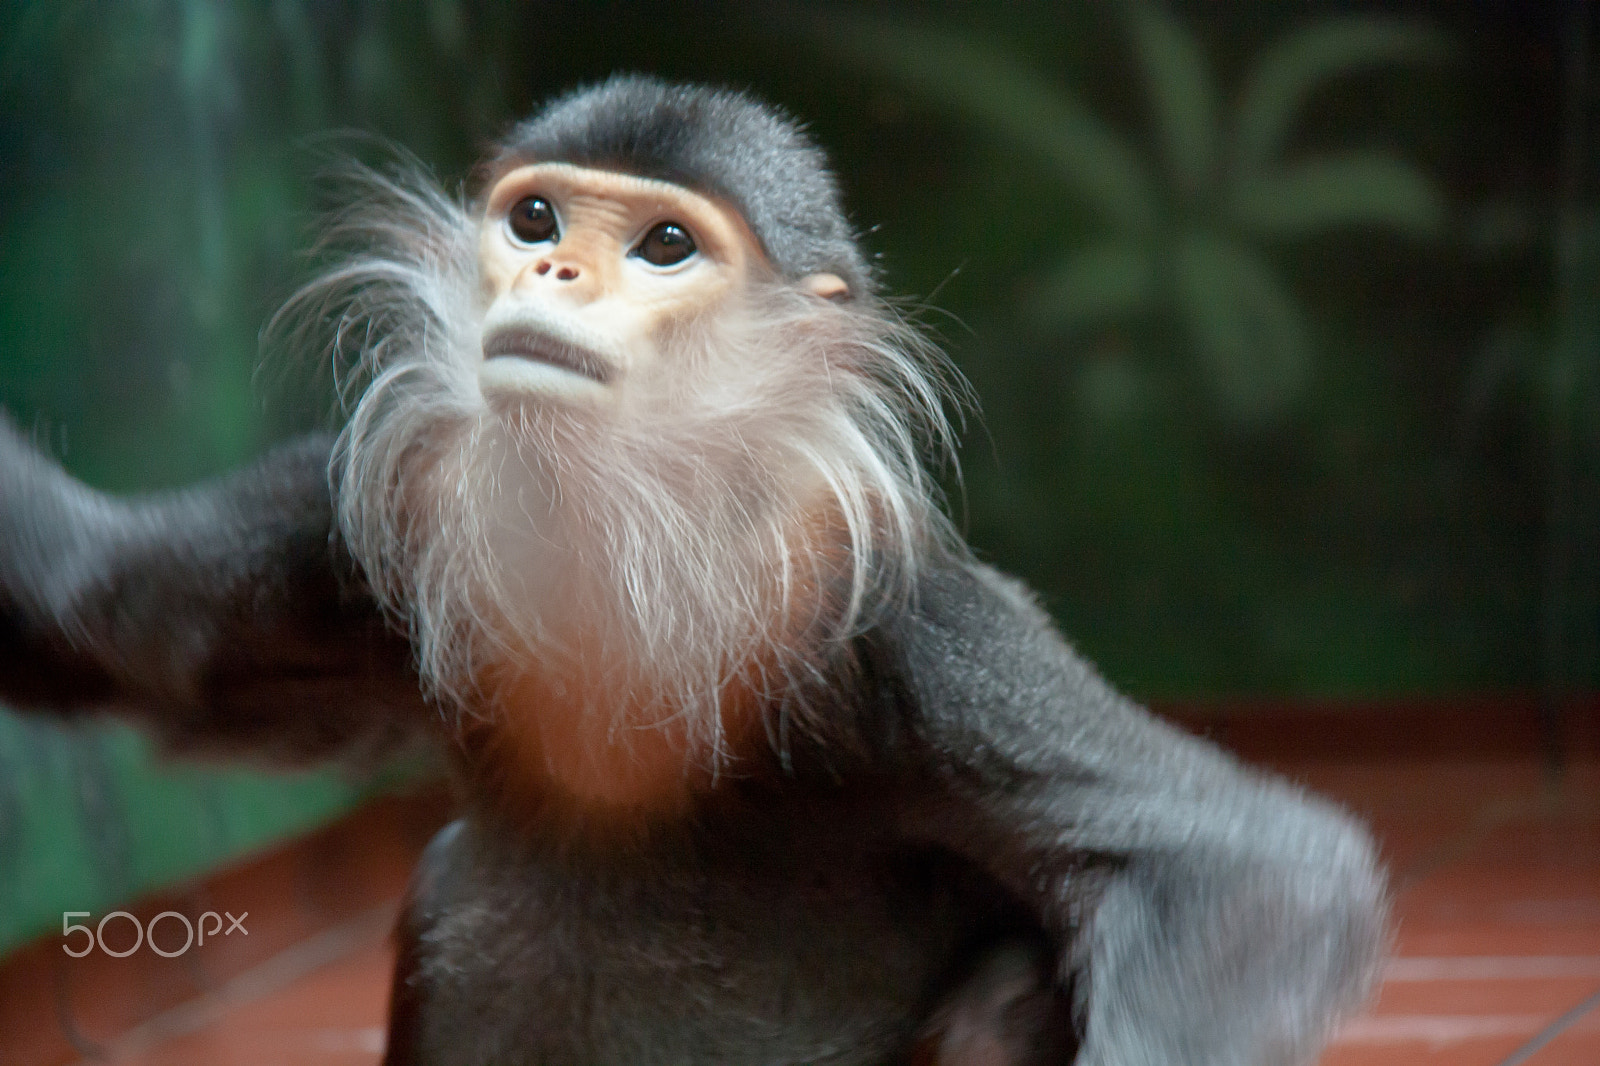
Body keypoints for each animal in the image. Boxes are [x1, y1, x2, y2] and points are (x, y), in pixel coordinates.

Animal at [0, 76, 1387, 1065]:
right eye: (536, 219)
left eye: (664, 244)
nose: (553, 269)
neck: (623, 532)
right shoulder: (357, 515)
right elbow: (93, 614)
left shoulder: (891, 613)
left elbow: (1238, 864)